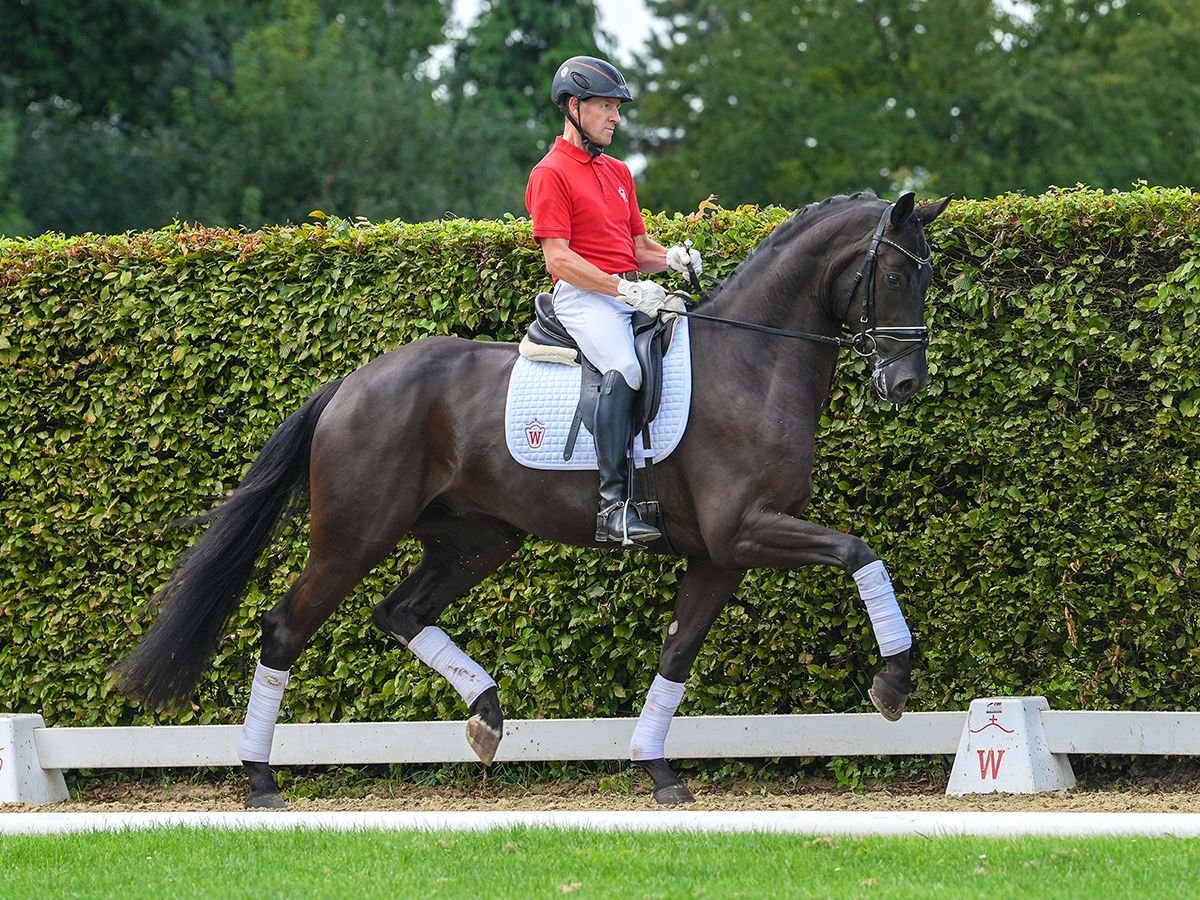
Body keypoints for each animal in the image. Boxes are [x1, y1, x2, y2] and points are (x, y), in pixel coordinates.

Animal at [117, 192, 950, 811]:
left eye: (931, 276)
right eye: (894, 274)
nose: (907, 383)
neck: (752, 362)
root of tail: (352, 383)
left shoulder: (721, 554)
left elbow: (677, 653)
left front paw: (656, 769)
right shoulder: (746, 531)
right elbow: (859, 552)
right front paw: (892, 683)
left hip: (477, 539)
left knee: (400, 612)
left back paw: (486, 717)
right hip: (353, 538)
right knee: (286, 629)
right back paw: (261, 780)